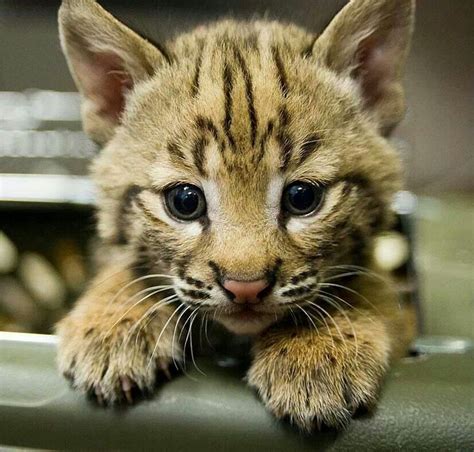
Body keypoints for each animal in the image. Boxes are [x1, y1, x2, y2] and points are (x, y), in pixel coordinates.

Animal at [57, 0, 416, 430]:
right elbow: (126, 264)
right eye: (184, 201)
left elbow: (368, 288)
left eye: (302, 197)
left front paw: (314, 344)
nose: (246, 287)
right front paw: (112, 320)